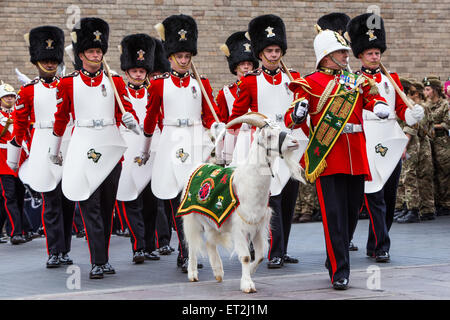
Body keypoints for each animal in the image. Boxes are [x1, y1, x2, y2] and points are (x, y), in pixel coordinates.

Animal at [181, 112, 304, 292]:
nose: (294, 142)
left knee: (210, 242)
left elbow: (260, 256)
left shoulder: (258, 227)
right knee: (192, 244)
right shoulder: (239, 228)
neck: (248, 182)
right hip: (191, 217)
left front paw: (251, 272)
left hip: (211, 222)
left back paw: (218, 272)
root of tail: (199, 166)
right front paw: (248, 285)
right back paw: (192, 274)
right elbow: (245, 256)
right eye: (269, 135)